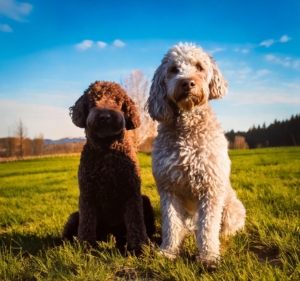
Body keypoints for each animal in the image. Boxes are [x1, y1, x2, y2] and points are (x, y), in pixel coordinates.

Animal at [146, 42, 246, 266]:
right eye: (174, 69)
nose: (187, 83)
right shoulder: (169, 188)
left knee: (223, 228)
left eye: (199, 67)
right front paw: (169, 252)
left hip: (232, 208)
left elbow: (208, 227)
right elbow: (172, 225)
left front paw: (209, 257)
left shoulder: (210, 188)